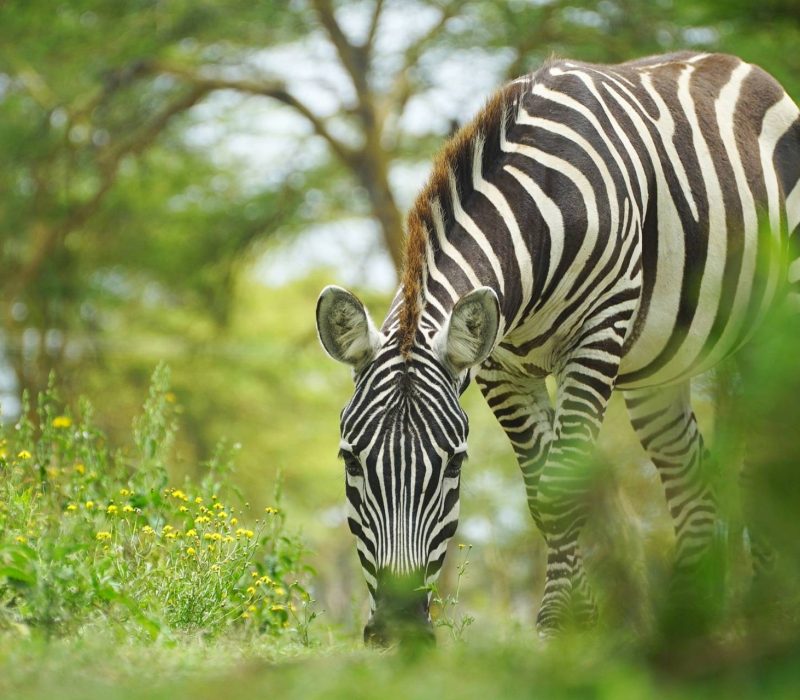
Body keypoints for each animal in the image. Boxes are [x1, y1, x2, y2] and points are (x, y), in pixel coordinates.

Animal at [315, 52, 800, 643]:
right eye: (351, 460)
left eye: (455, 465)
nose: (401, 627)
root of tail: (735, 62)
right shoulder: (500, 366)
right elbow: (542, 493)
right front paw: (578, 618)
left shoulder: (596, 336)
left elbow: (566, 485)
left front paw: (558, 624)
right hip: (660, 370)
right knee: (690, 476)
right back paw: (690, 621)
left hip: (774, 324)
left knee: (765, 462)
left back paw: (768, 609)